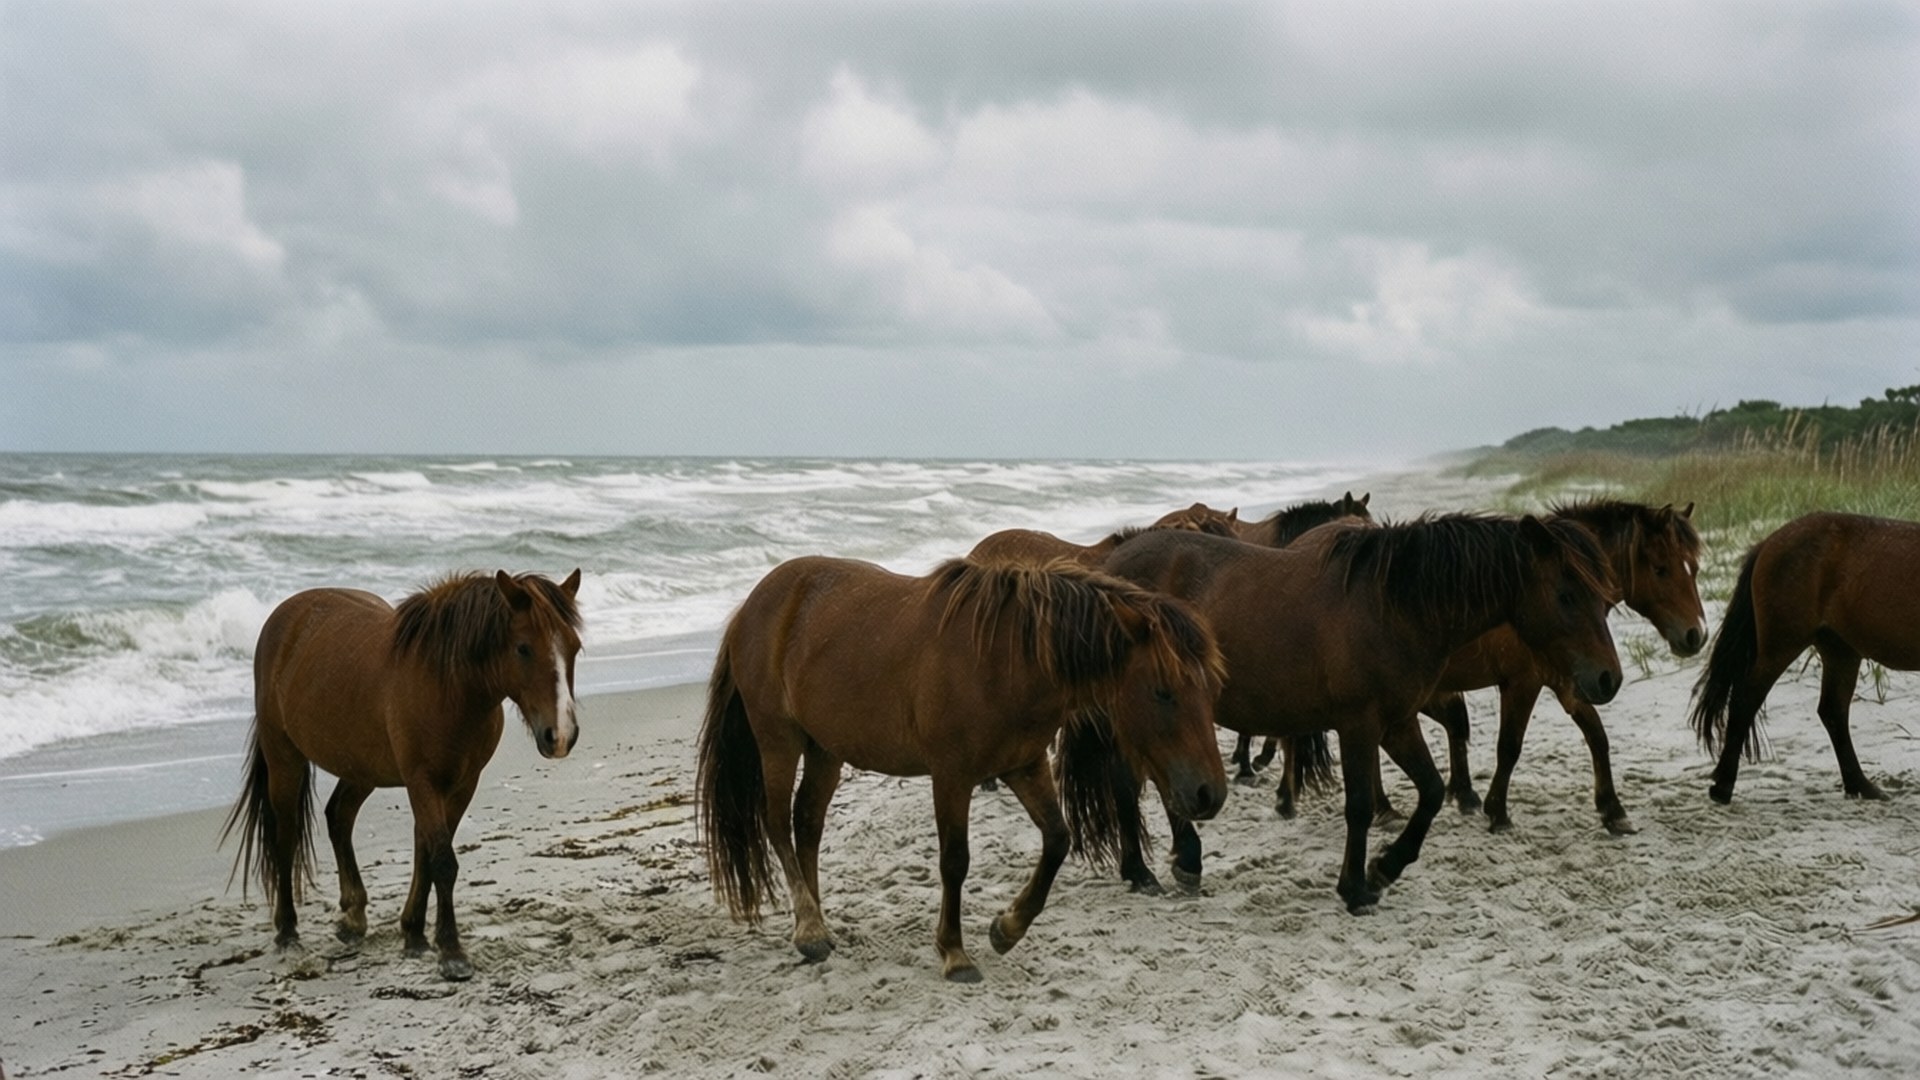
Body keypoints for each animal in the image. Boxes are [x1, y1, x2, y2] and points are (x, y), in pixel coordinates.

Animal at [223, 570, 583, 981]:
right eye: (523, 648)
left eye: (574, 647)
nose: (561, 734)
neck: (447, 685)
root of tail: (286, 617)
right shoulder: (422, 782)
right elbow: (442, 861)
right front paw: (451, 951)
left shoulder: (462, 784)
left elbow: (426, 855)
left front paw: (414, 934)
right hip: (285, 760)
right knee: (285, 837)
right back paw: (287, 931)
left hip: (361, 767)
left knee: (339, 817)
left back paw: (354, 914)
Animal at [696, 556, 1227, 982]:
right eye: (1163, 691)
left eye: (1209, 689)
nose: (1209, 794)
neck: (1006, 661)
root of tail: (755, 601)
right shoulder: (952, 776)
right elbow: (955, 860)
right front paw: (955, 953)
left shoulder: (1024, 766)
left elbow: (1057, 839)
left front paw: (1007, 928)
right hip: (779, 741)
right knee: (777, 825)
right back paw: (808, 929)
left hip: (826, 747)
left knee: (807, 823)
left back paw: (819, 925)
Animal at [1086, 514, 1619, 912]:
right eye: (1567, 595)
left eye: (1603, 597)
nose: (1607, 678)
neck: (1394, 606)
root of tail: (1111, 565)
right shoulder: (1359, 724)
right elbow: (1360, 804)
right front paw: (1356, 886)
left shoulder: (1397, 721)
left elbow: (1430, 791)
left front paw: (1385, 868)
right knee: (1129, 781)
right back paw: (1157, 868)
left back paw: (1168, 863)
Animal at [1690, 511, 1920, 804]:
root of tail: (1768, 543)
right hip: (1781, 646)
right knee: (1744, 702)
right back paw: (1722, 786)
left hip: (1840, 651)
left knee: (1833, 712)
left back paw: (1860, 785)